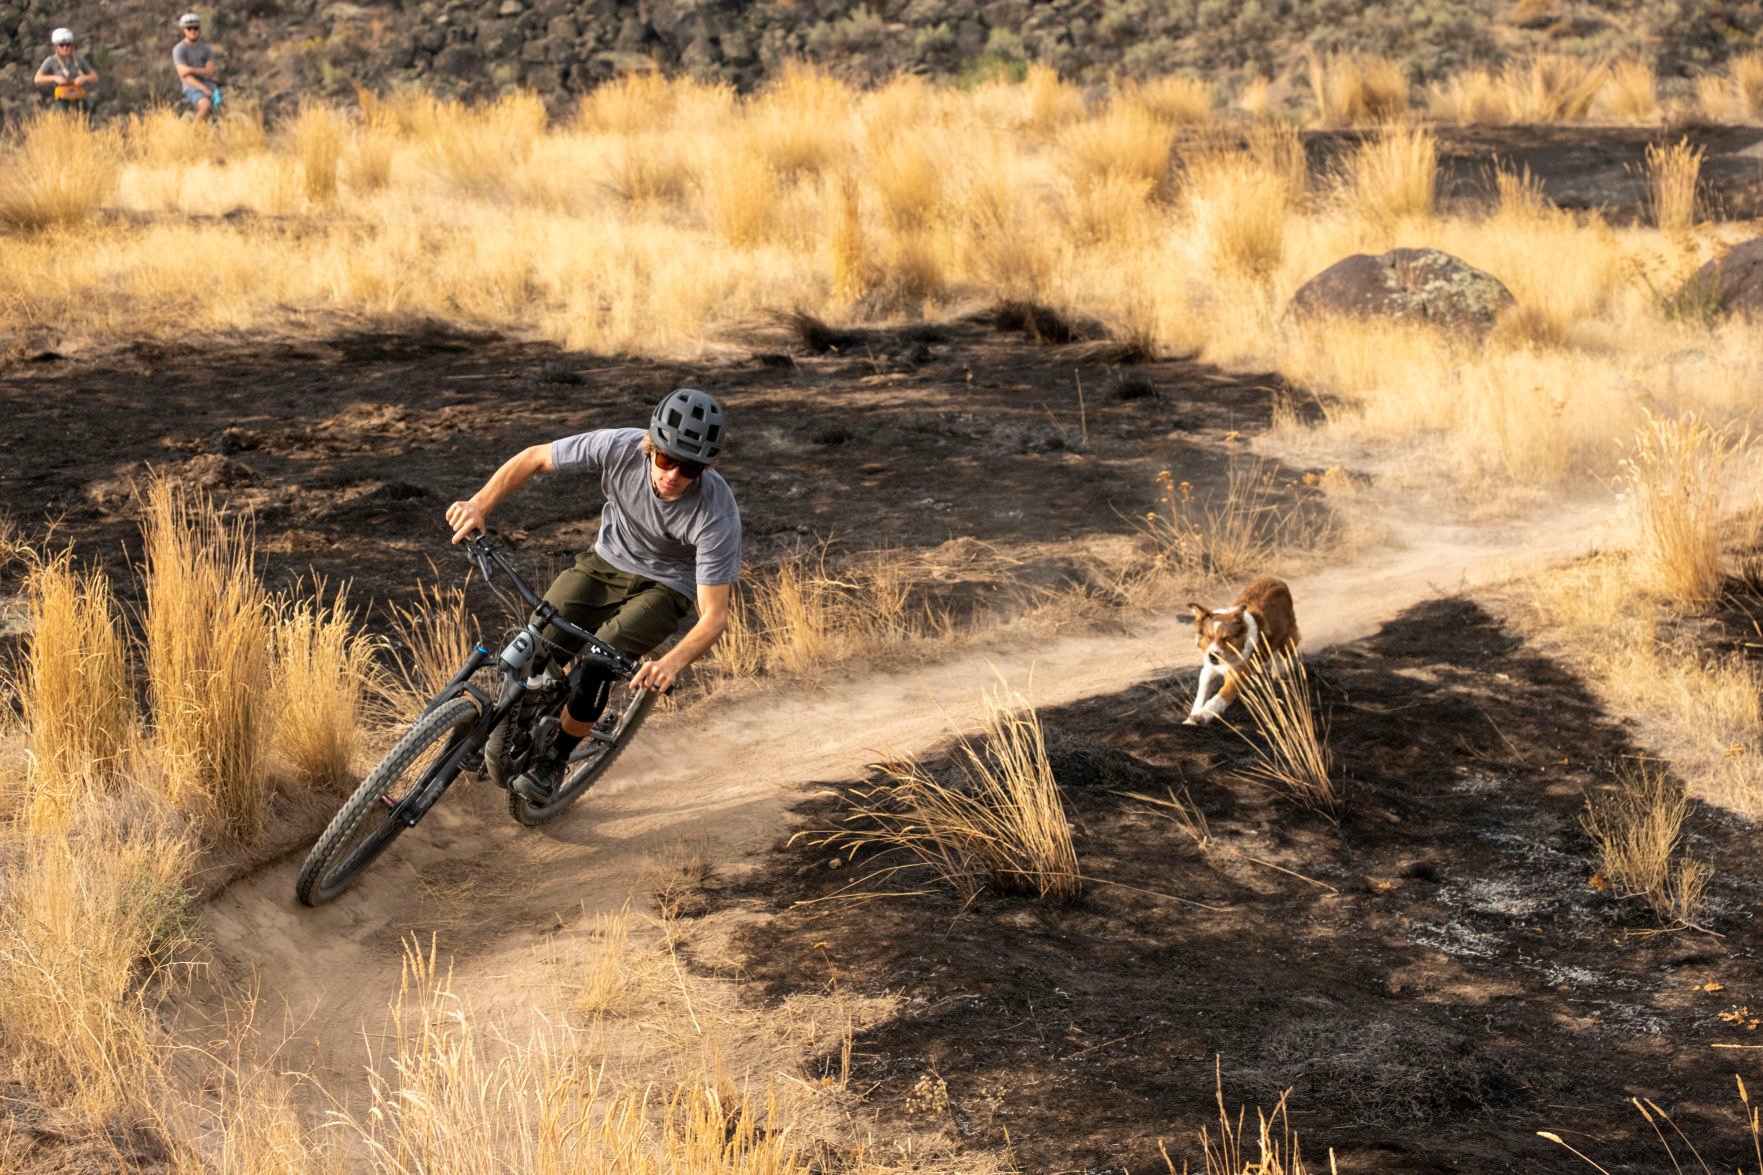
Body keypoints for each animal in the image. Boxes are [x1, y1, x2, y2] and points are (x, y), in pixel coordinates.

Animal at [1184, 575, 1297, 726]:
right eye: (1209, 637)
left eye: (1226, 638)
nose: (1213, 656)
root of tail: (1275, 579)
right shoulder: (1208, 670)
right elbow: (1200, 696)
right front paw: (1190, 720)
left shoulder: (1237, 675)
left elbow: (1219, 698)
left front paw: (1202, 716)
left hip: (1289, 639)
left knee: (1282, 653)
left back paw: (1278, 671)